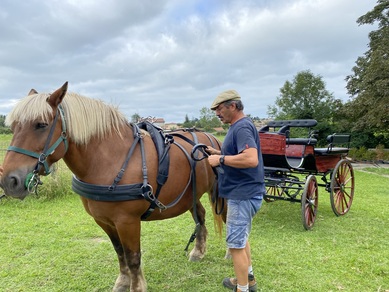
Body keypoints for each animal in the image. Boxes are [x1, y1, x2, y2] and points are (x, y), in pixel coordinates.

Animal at [0, 82, 224, 292]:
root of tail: (211, 138)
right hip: (190, 196)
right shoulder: (104, 220)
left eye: (41, 125)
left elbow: (133, 257)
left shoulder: (127, 221)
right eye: (14, 127)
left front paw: (137, 286)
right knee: (200, 215)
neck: (108, 160)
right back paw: (198, 251)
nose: (9, 180)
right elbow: (120, 253)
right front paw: (123, 282)